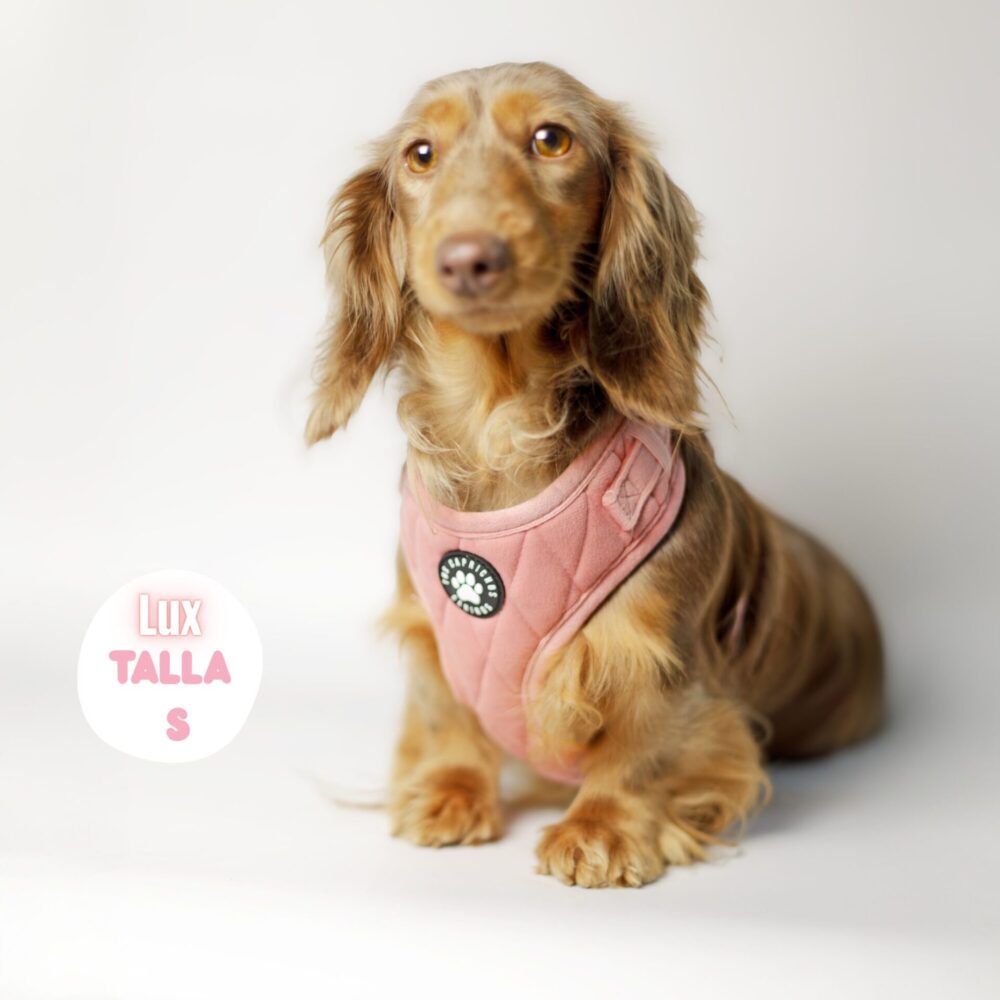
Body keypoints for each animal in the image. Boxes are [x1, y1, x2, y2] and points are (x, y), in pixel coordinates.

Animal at [306, 62, 884, 888]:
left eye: (553, 140)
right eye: (420, 155)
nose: (468, 258)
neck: (498, 420)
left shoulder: (655, 650)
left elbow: (642, 745)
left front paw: (604, 828)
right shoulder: (430, 628)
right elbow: (446, 715)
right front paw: (451, 791)